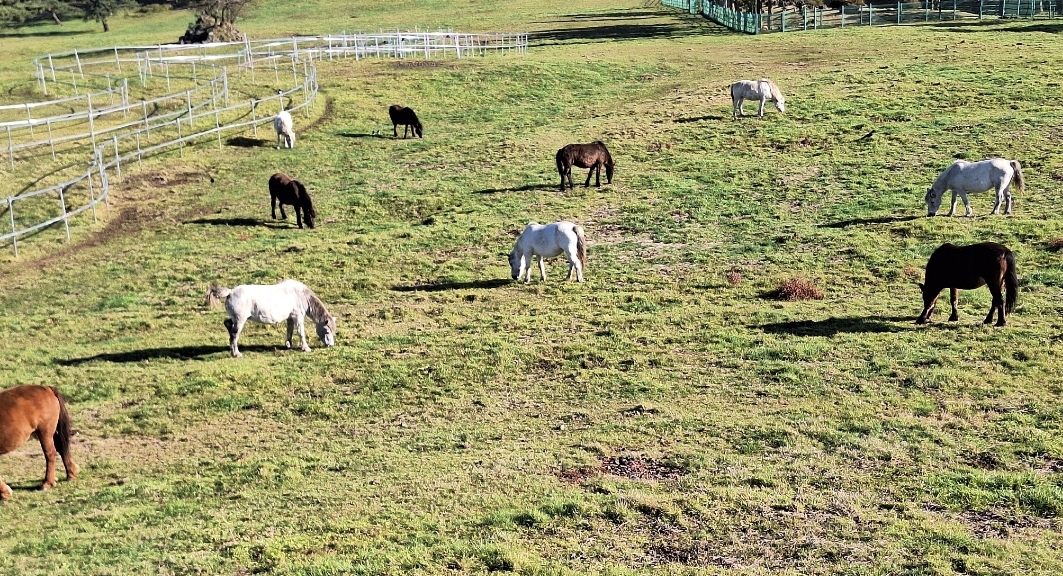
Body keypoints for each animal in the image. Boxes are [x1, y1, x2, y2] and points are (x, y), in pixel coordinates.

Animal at [205, 279, 337, 358]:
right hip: (240, 320)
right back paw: (236, 353)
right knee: (234, 335)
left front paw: (289, 345)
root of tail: (230, 292)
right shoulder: (298, 316)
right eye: (327, 331)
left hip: (234, 319)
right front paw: (306, 348)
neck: (301, 295)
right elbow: (301, 333)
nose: (331, 345)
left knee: (227, 324)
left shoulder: (290, 317)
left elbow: (290, 331)